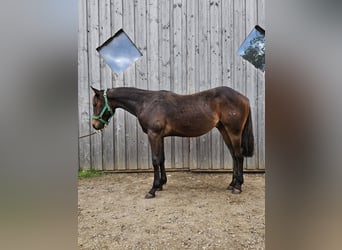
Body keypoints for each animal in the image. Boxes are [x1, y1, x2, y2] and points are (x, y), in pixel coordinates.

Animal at [91, 87, 254, 198]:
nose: (94, 125)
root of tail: (245, 98)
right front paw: (162, 184)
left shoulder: (153, 135)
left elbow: (155, 160)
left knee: (239, 156)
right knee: (234, 156)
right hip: (224, 130)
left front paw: (153, 189)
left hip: (234, 132)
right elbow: (162, 159)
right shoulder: (160, 136)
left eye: (95, 104)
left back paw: (238, 186)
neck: (146, 103)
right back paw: (232, 184)